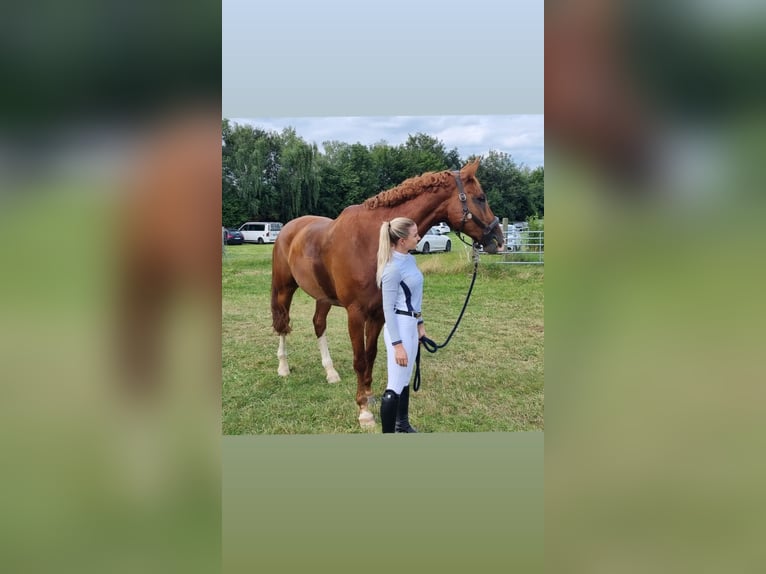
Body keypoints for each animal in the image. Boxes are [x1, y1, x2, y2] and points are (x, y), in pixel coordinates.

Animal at [270, 160, 504, 430]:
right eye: (481, 198)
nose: (498, 240)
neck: (371, 241)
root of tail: (288, 228)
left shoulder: (379, 313)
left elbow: (370, 356)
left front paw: (368, 397)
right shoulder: (355, 314)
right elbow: (360, 359)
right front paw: (363, 411)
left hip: (323, 297)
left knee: (318, 324)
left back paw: (330, 373)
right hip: (284, 289)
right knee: (283, 324)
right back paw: (283, 367)